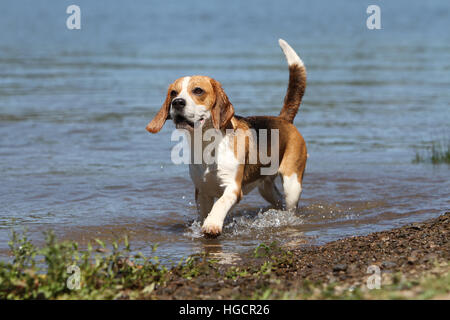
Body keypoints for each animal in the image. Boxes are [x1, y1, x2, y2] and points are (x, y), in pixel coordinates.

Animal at [146, 38, 308, 236]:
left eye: (198, 91)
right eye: (173, 93)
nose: (177, 103)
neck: (207, 144)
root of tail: (283, 119)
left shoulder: (233, 188)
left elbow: (220, 205)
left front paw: (212, 224)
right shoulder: (202, 192)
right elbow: (205, 212)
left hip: (292, 184)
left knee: (290, 205)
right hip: (266, 187)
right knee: (278, 201)